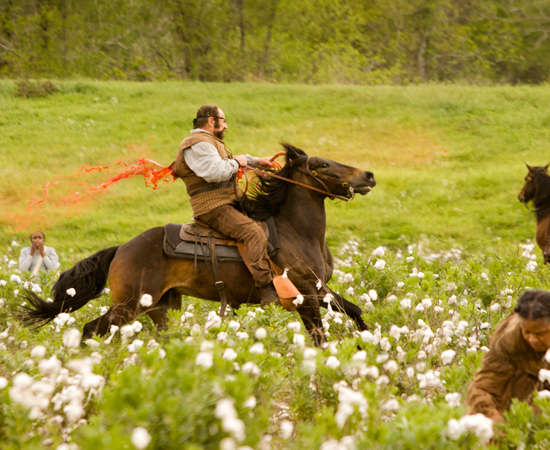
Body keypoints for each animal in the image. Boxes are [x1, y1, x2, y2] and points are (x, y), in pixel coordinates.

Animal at [19, 144, 378, 344]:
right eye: (322, 165)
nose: (369, 175)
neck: (296, 232)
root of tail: (121, 248)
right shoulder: (307, 296)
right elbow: (321, 339)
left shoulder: (320, 290)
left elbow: (355, 311)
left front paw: (366, 343)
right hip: (129, 305)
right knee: (91, 329)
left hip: (157, 308)